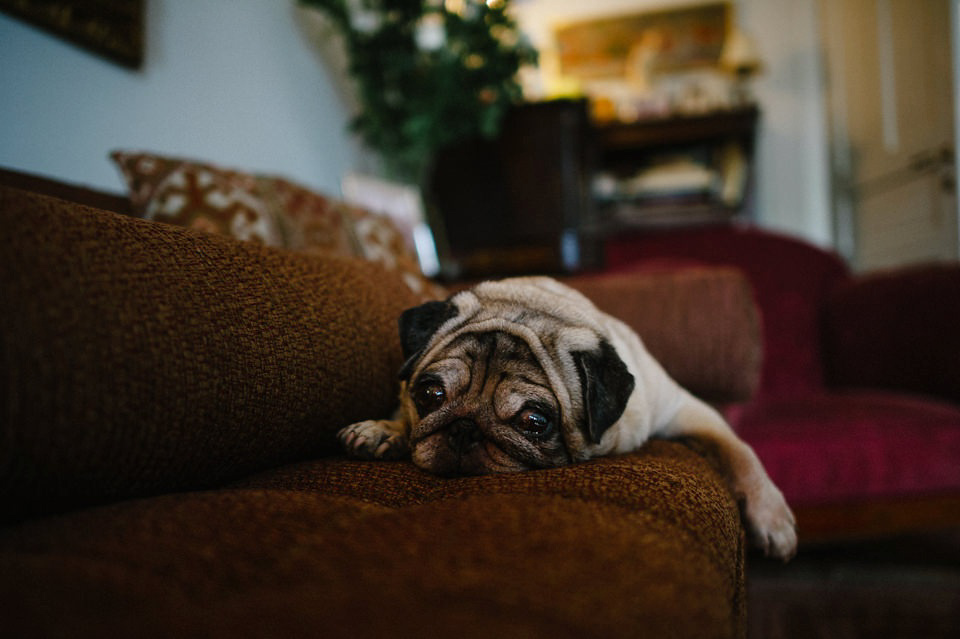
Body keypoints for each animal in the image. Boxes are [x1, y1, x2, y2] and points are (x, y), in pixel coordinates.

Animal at [338, 278, 796, 556]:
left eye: (534, 422)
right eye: (430, 395)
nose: (465, 429)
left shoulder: (688, 410)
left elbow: (741, 452)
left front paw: (771, 517)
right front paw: (385, 429)